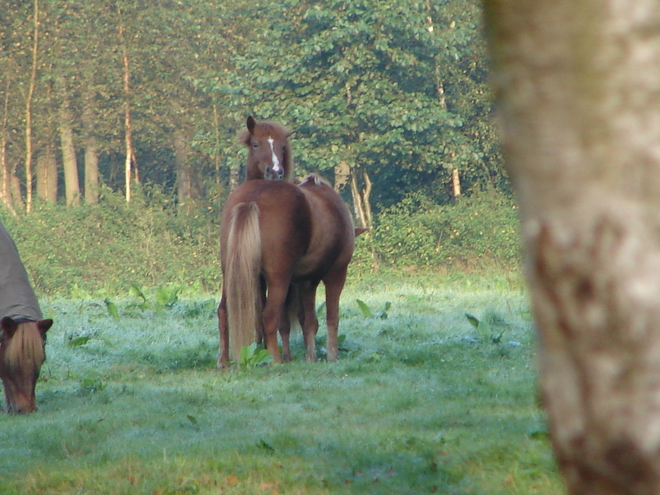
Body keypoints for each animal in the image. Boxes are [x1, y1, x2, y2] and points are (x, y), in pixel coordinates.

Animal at [218, 175, 358, 368]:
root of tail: (254, 197)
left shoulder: (307, 281)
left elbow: (309, 320)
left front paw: (311, 356)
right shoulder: (336, 273)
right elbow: (332, 316)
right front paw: (332, 355)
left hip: (230, 275)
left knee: (224, 312)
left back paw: (224, 361)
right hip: (279, 280)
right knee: (269, 315)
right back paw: (275, 360)